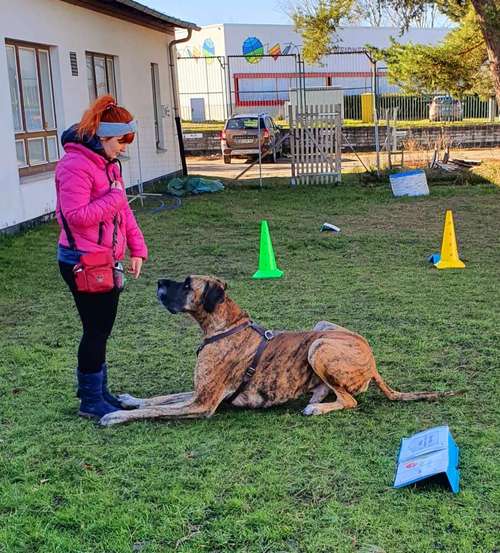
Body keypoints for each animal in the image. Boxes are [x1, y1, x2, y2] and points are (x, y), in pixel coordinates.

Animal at [99, 276, 462, 426]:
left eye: (187, 284)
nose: (160, 281)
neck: (225, 326)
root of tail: (372, 363)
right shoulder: (199, 392)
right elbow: (159, 399)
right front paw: (129, 400)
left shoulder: (203, 403)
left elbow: (156, 410)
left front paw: (117, 415)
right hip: (321, 328)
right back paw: (316, 396)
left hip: (319, 346)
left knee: (350, 400)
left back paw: (317, 407)